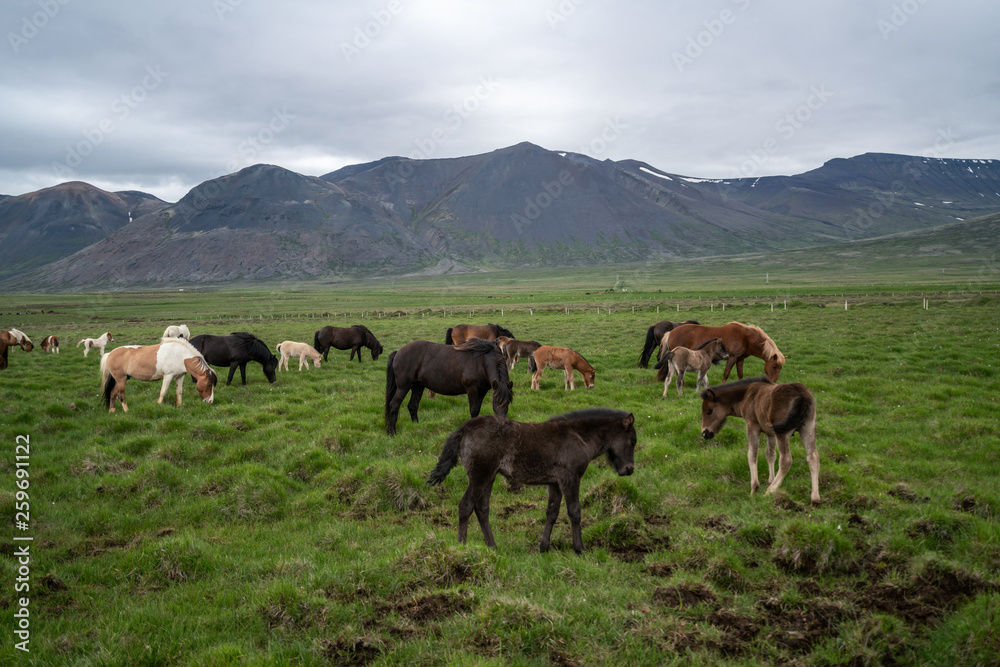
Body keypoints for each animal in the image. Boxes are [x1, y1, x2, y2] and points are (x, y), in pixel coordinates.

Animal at [378, 340, 512, 438]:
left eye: (509, 402)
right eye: (496, 401)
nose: (503, 425)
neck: (482, 361)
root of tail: (398, 352)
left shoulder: (482, 391)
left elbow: (477, 410)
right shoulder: (472, 389)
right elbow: (474, 411)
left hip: (418, 386)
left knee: (413, 405)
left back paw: (416, 427)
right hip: (403, 387)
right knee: (394, 405)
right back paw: (392, 433)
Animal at [428, 410, 632, 556]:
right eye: (633, 441)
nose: (629, 469)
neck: (578, 436)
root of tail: (466, 428)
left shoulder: (554, 483)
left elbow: (552, 513)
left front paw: (543, 548)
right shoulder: (570, 479)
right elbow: (574, 512)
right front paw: (579, 549)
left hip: (489, 476)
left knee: (482, 509)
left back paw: (493, 547)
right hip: (480, 475)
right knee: (465, 506)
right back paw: (462, 547)